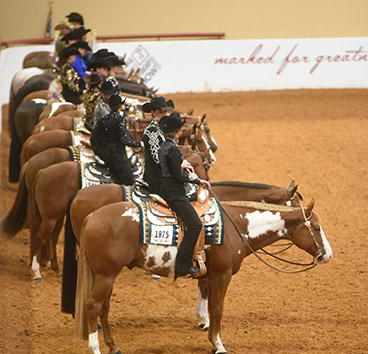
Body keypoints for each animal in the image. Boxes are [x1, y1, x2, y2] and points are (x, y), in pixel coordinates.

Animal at [73, 191, 332, 354]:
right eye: (316, 227)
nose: (328, 255)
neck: (237, 226)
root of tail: (92, 217)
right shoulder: (221, 275)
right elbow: (217, 309)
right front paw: (219, 345)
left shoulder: (209, 276)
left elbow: (208, 306)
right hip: (106, 276)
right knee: (93, 306)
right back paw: (95, 349)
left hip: (106, 276)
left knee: (104, 308)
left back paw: (113, 346)